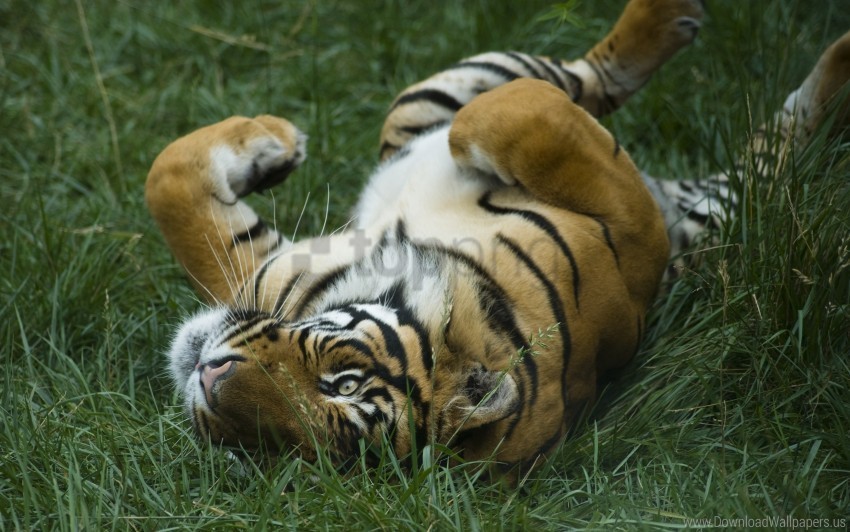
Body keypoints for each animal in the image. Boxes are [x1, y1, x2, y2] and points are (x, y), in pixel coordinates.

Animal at [146, 0, 848, 476]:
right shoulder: (269, 273)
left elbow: (511, 115)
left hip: (441, 99)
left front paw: (278, 146)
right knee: (588, 81)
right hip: (432, 102)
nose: (208, 377)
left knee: (570, 83)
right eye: (255, 444)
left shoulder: (631, 235)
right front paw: (276, 146)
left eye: (342, 385)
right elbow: (169, 179)